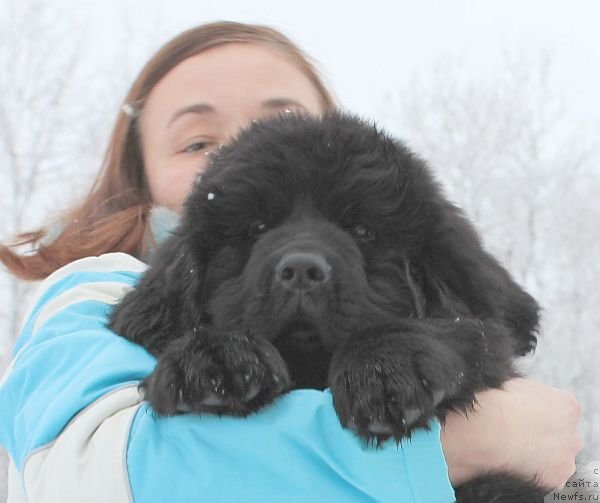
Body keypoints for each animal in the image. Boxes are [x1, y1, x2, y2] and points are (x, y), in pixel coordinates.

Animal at [110, 112, 548, 502]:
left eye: (362, 230)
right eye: (258, 228)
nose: (302, 269)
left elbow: (469, 330)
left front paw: (384, 368)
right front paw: (213, 358)